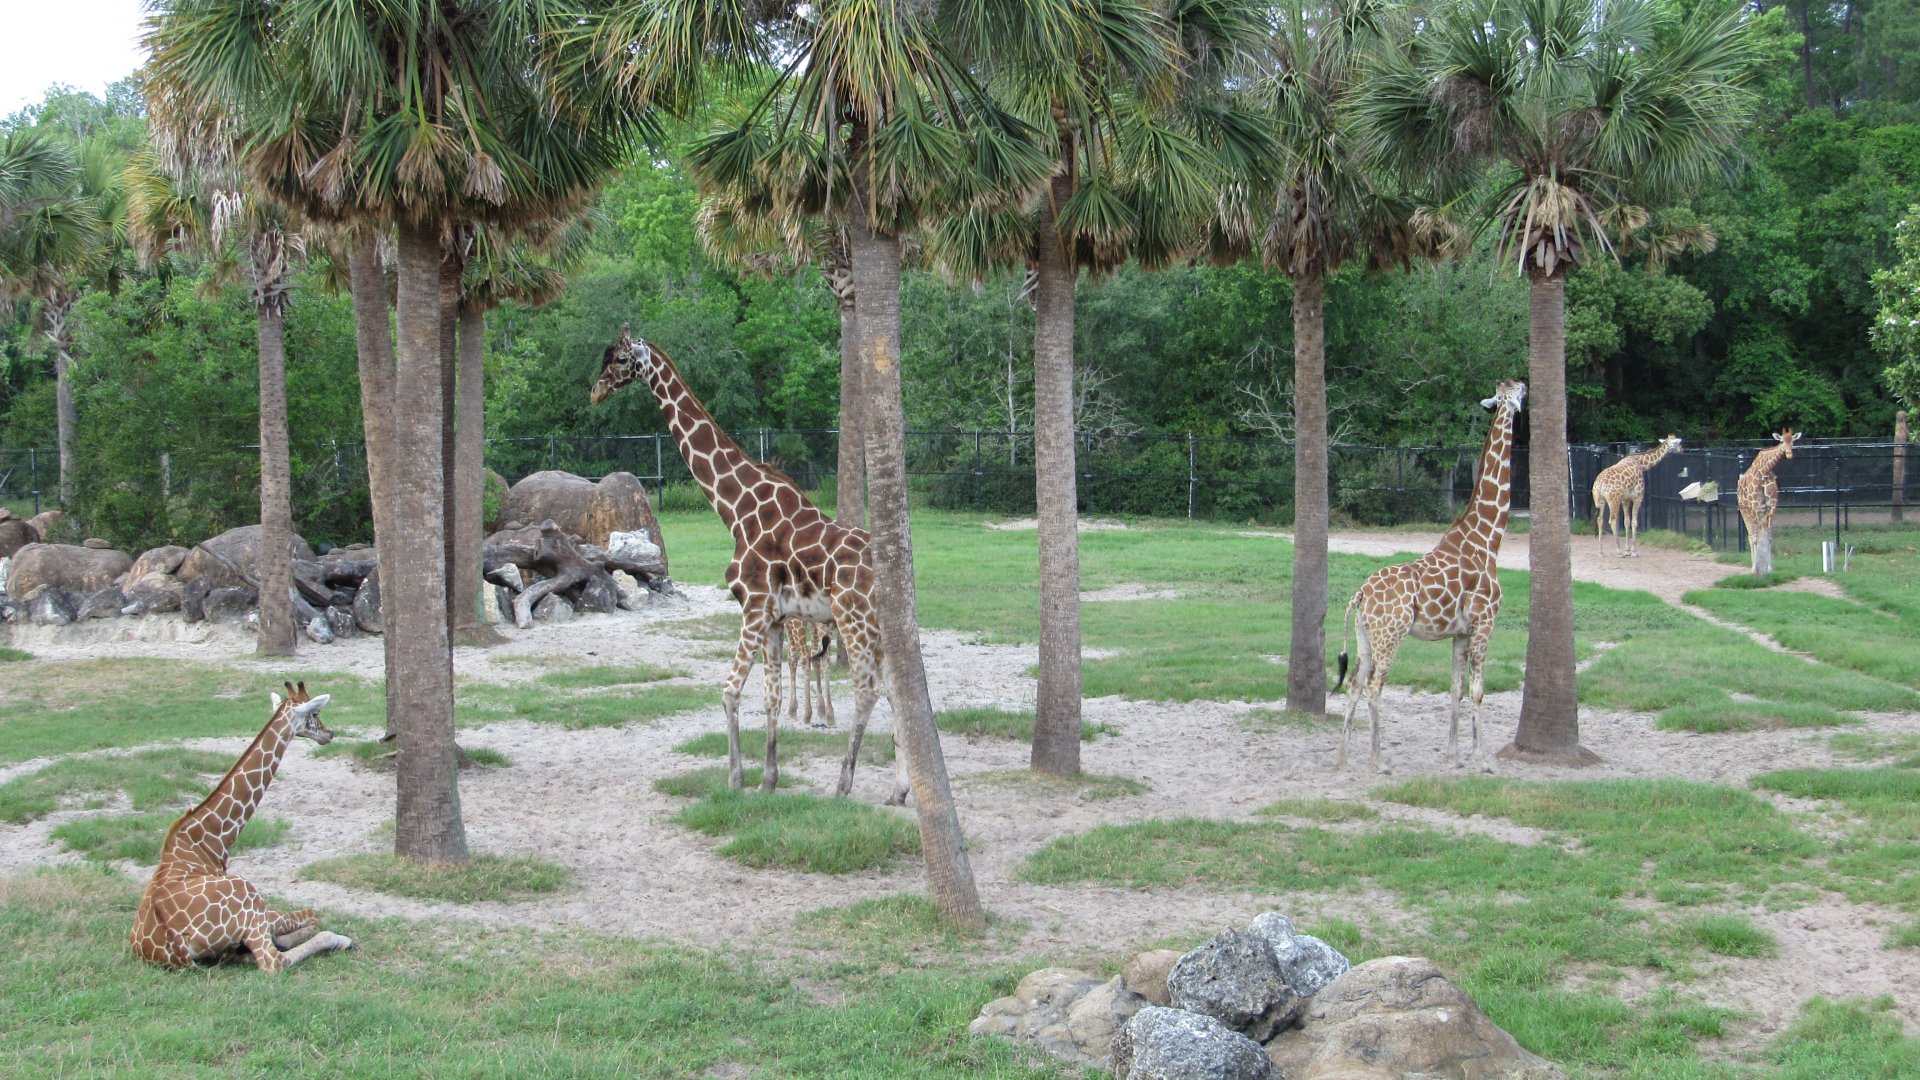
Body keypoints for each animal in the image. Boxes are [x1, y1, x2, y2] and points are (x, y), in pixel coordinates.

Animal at [130, 682, 354, 971]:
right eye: (314, 714)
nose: (330, 733)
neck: (210, 840)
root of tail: (176, 947)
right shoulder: (260, 911)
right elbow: (312, 915)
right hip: (248, 895)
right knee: (274, 962)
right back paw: (339, 940)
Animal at [590, 325, 905, 802]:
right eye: (606, 357)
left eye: (622, 359)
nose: (595, 391)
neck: (737, 510)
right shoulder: (774, 617)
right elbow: (769, 696)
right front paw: (768, 780)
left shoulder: (753, 606)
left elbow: (729, 691)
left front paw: (735, 779)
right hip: (877, 626)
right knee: (896, 692)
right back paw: (900, 791)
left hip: (854, 619)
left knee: (868, 689)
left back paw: (842, 785)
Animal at [1332, 380, 1526, 774]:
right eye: (1514, 390)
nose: (1526, 385)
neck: (1488, 539)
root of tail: (1360, 594)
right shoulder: (1485, 623)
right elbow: (1479, 691)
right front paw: (1481, 759)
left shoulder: (1461, 632)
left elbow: (1456, 688)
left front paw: (1453, 755)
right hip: (1390, 636)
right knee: (1374, 686)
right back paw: (1378, 760)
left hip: (1364, 637)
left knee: (1354, 684)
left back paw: (1343, 757)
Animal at [1738, 429, 1800, 575]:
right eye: (1782, 441)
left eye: (1793, 441)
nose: (1789, 454)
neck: (1764, 472)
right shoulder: (1757, 507)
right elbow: (1758, 537)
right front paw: (1757, 568)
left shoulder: (1771, 507)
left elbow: (1769, 537)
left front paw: (1769, 568)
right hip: (1745, 509)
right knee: (1752, 535)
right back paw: (1753, 567)